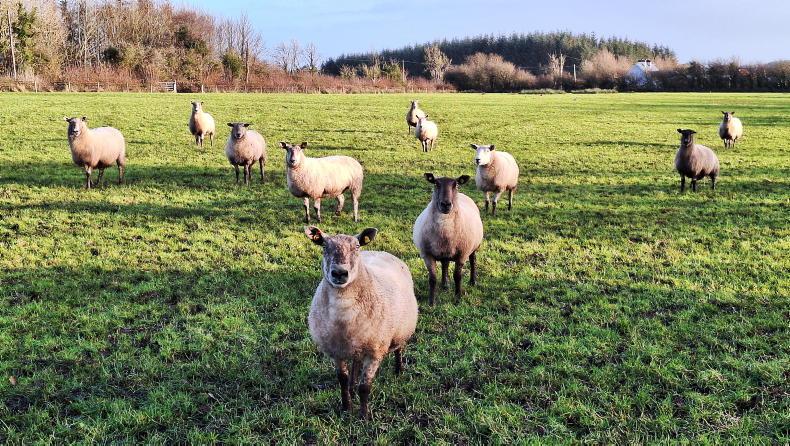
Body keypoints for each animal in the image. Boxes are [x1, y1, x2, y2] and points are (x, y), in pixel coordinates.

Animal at [305, 226, 418, 419]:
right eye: (324, 246)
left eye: (357, 246)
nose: (339, 273)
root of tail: (380, 251)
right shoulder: (337, 351)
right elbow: (342, 380)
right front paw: (346, 407)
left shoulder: (375, 352)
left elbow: (365, 387)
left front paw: (363, 417)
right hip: (357, 344)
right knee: (355, 365)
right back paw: (352, 387)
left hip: (400, 329)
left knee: (399, 348)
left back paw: (398, 370)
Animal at [412, 173, 484, 305]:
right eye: (436, 183)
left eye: (456, 184)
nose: (446, 204)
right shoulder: (427, 255)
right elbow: (432, 278)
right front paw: (431, 302)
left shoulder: (462, 254)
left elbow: (457, 276)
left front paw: (458, 299)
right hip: (445, 251)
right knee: (445, 263)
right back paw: (445, 284)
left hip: (474, 245)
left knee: (473, 260)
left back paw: (473, 281)